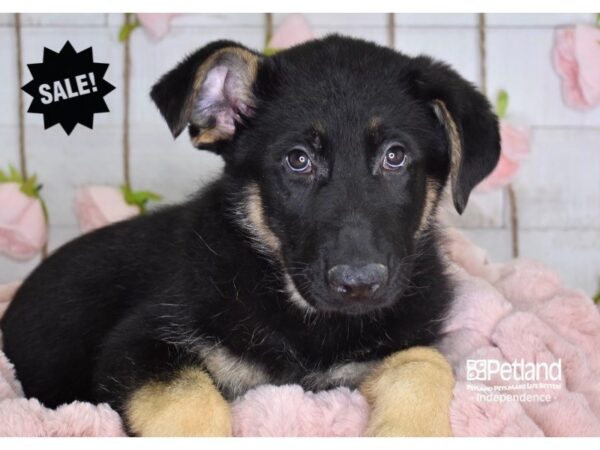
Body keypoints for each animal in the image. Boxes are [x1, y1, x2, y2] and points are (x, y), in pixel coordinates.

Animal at [0, 35, 500, 436]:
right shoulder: (135, 347)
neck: (304, 320)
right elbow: (190, 401)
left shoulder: (394, 346)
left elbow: (425, 364)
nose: (359, 284)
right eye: (297, 160)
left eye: (396, 157)